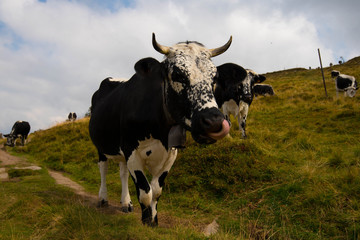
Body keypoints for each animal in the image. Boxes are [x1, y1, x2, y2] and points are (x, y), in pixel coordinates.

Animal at [88, 32, 232, 226]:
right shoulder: (131, 150)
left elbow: (156, 190)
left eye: (214, 77)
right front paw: (146, 221)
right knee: (103, 169)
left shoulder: (170, 154)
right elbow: (145, 192)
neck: (160, 131)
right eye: (177, 75)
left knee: (122, 172)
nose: (214, 122)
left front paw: (154, 220)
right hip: (102, 147)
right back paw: (103, 198)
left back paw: (126, 203)